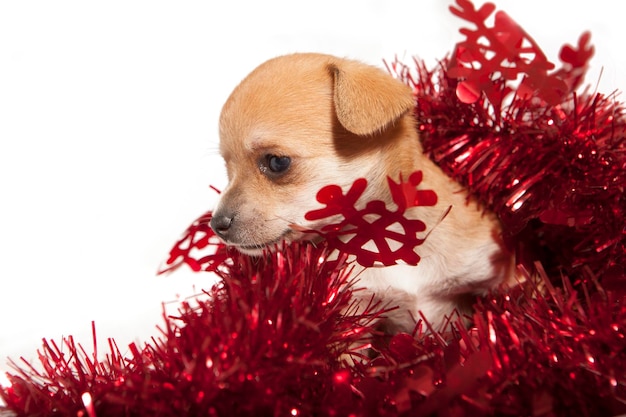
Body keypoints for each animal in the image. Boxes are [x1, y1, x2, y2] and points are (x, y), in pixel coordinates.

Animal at [210, 52, 512, 332]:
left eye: (277, 162)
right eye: (227, 167)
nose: (216, 224)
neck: (384, 236)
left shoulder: (498, 272)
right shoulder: (354, 318)